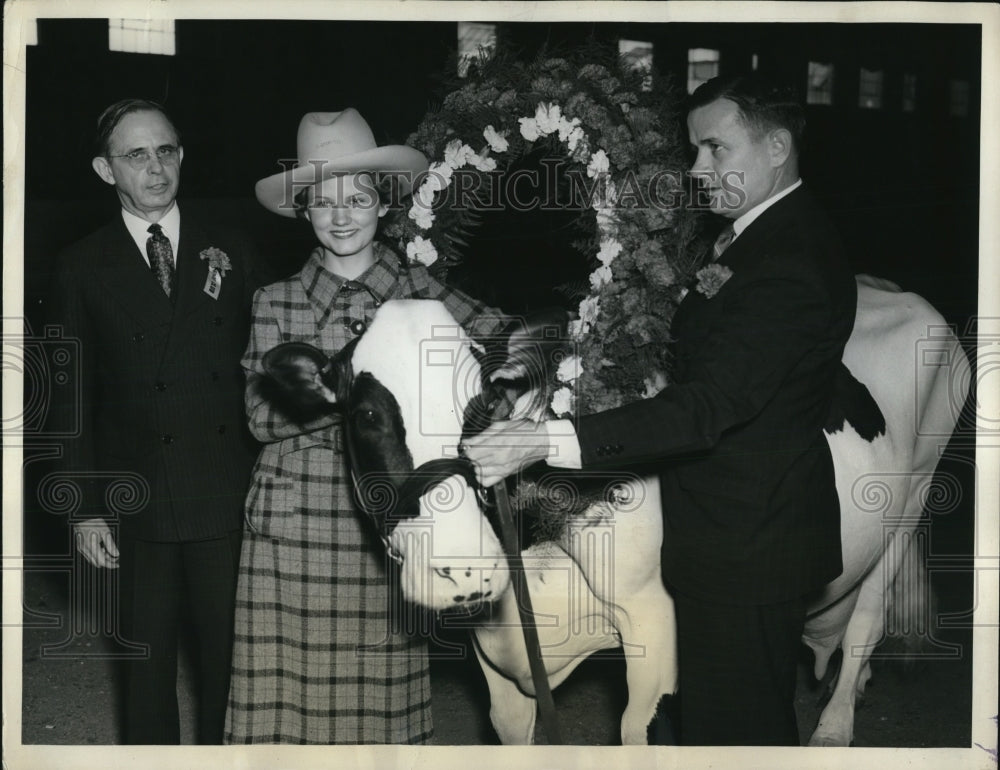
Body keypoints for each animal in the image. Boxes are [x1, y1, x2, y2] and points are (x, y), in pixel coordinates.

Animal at [264, 278, 968, 744]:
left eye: (486, 403)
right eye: (365, 415)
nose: (465, 573)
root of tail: (890, 289)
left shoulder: (657, 625)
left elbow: (637, 730)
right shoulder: (499, 653)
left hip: (911, 503)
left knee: (865, 621)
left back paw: (834, 726)